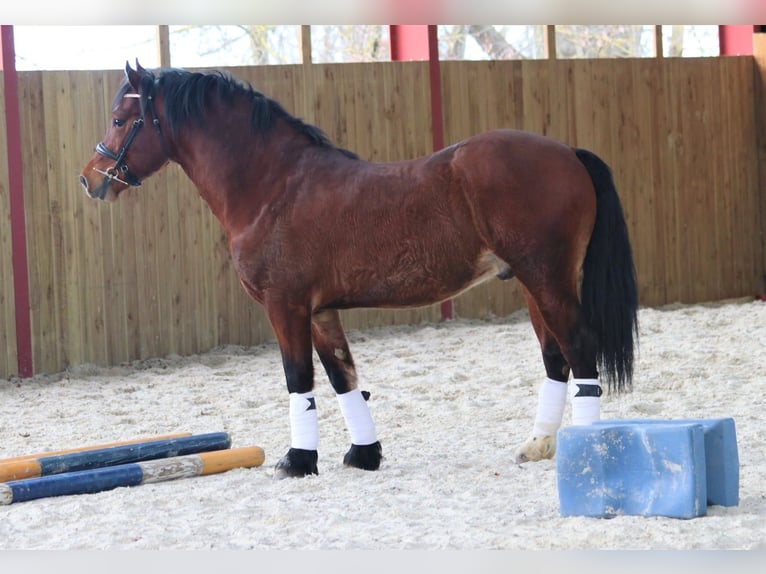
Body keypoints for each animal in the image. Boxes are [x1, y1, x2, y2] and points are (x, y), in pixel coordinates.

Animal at [79, 60, 640, 480]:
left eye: (119, 119)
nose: (91, 179)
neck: (274, 186)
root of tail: (567, 152)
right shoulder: (320, 311)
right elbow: (341, 376)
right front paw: (364, 454)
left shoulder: (285, 306)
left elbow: (298, 379)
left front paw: (298, 461)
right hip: (530, 282)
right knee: (556, 359)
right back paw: (539, 445)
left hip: (546, 278)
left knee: (579, 351)